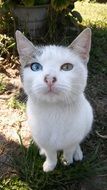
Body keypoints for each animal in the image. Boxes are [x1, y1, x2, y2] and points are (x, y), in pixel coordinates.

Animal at [15, 28, 93, 172]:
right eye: (35, 67)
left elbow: (69, 149)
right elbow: (50, 153)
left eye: (67, 67)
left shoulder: (72, 139)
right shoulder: (44, 139)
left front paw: (67, 161)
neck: (54, 111)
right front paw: (50, 165)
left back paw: (77, 153)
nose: (50, 78)